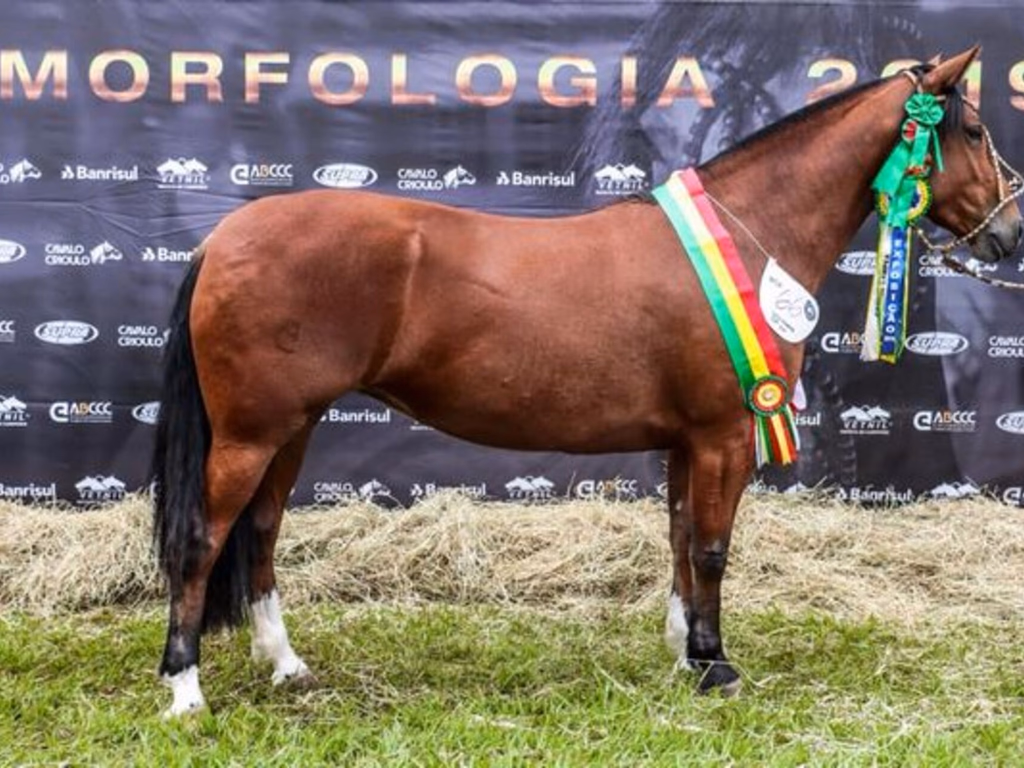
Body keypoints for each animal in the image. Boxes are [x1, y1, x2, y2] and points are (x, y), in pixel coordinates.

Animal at [152, 47, 1021, 716]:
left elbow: (679, 539)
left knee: (262, 534)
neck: (745, 237)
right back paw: (186, 690)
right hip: (250, 434)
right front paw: (716, 665)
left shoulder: (686, 443)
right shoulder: (724, 434)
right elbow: (711, 548)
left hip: (291, 429)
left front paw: (683, 652)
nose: (1010, 231)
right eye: (975, 130)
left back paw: (286, 665)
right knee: (202, 539)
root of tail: (223, 239)